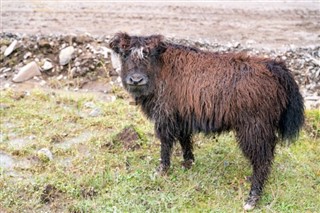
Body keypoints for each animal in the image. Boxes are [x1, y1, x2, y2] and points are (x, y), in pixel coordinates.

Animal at [109, 32, 304, 210]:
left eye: (148, 54)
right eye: (124, 54)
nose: (136, 80)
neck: (161, 67)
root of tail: (275, 68)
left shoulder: (165, 117)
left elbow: (166, 144)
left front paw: (161, 170)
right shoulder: (182, 117)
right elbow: (185, 140)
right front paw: (188, 163)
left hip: (253, 129)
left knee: (261, 159)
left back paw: (252, 199)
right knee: (268, 155)